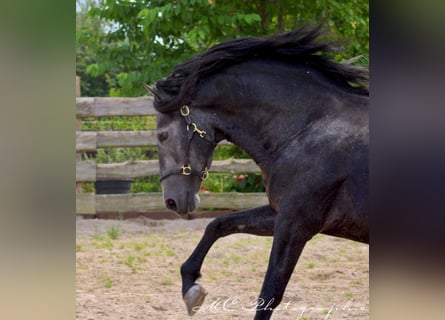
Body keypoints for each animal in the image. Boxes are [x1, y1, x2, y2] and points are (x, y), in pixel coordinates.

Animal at [145, 23, 368, 318]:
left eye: (162, 136)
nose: (171, 202)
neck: (306, 128)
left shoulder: (296, 224)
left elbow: (270, 293)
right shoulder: (279, 214)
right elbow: (219, 224)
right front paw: (191, 288)